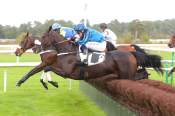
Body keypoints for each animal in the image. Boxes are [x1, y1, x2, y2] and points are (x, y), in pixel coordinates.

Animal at [15, 29, 163, 88]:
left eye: (23, 41)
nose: (16, 52)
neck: (65, 51)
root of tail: (131, 52)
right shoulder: (50, 63)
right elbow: (45, 69)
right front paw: (49, 83)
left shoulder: (66, 72)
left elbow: (41, 69)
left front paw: (20, 81)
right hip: (126, 74)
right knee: (143, 73)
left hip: (127, 75)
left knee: (141, 75)